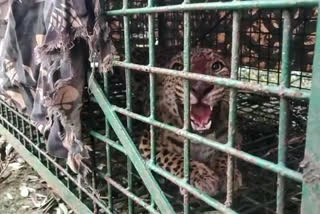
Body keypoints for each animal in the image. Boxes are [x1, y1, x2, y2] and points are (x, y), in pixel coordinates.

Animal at [138, 47, 242, 196]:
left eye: (216, 66)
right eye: (178, 67)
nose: (200, 88)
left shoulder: (235, 137)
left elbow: (226, 155)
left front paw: (227, 175)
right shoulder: (148, 142)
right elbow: (174, 157)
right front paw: (203, 176)